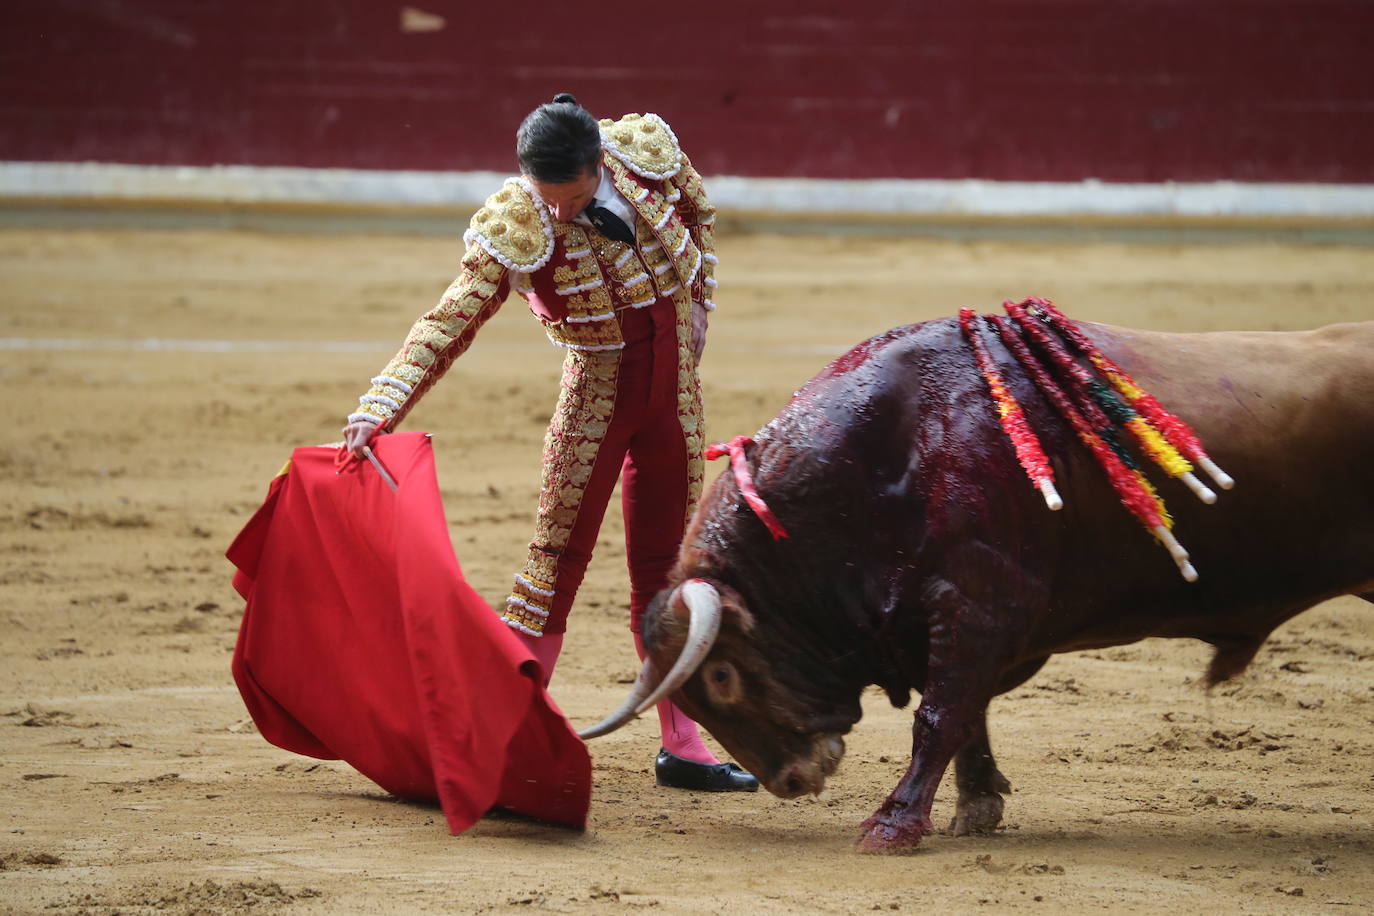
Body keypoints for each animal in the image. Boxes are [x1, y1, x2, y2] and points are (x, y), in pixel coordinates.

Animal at [579, 315, 1374, 851]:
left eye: (720, 679)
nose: (792, 781)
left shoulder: (981, 606)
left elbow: (941, 714)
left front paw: (892, 826)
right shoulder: (959, 622)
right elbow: (968, 714)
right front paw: (977, 808)